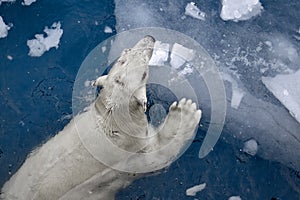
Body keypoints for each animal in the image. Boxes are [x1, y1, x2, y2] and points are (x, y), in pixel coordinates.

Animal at [1, 35, 202, 199]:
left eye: (124, 54)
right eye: (145, 72)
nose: (149, 38)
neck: (110, 119)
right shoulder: (127, 155)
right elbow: (158, 157)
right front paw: (185, 112)